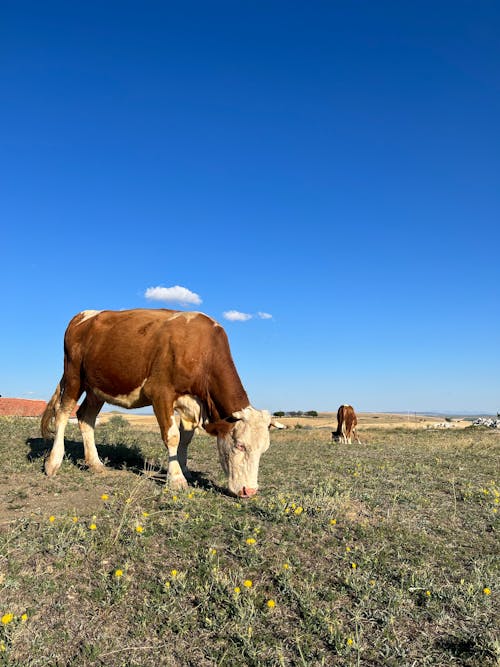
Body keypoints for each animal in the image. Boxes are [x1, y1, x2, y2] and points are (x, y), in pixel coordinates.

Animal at [42, 308, 286, 496]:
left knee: (85, 417)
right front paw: (176, 479)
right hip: (74, 375)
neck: (201, 351)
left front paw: (185, 469)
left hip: (97, 387)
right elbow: (172, 437)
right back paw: (53, 462)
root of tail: (83, 315)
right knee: (62, 413)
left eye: (264, 449)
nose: (249, 491)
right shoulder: (161, 393)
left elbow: (186, 439)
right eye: (240, 445)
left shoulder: (191, 404)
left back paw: (96, 464)